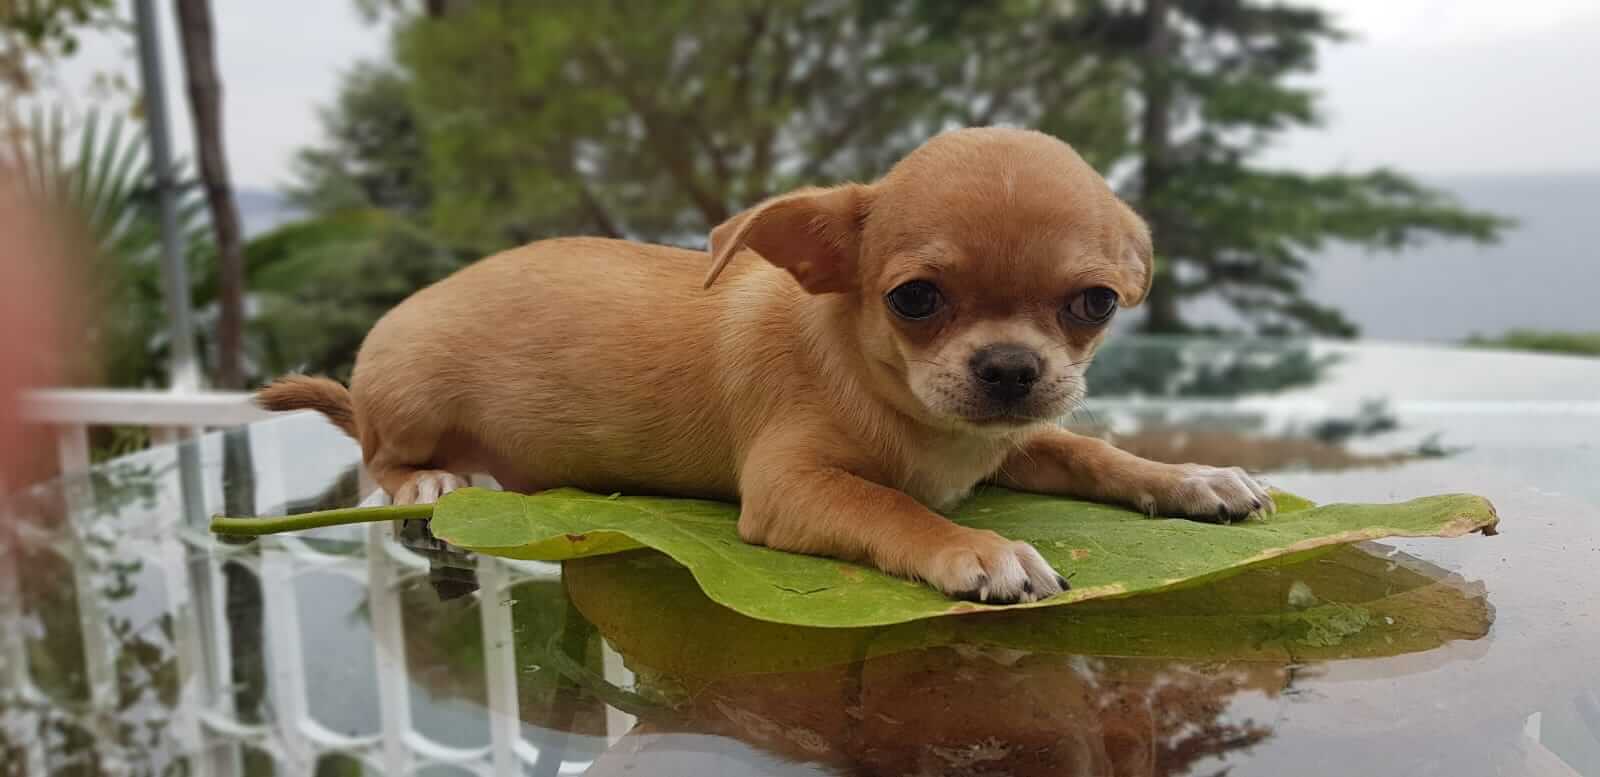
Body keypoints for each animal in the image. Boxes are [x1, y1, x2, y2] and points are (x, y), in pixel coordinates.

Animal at [259, 127, 1273, 604]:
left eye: (1094, 303)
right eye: (915, 298)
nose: (1012, 367)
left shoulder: (1010, 441)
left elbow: (1091, 451)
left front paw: (1191, 476)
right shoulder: (794, 487)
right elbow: (892, 506)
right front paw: (978, 547)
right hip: (410, 390)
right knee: (379, 458)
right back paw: (429, 480)